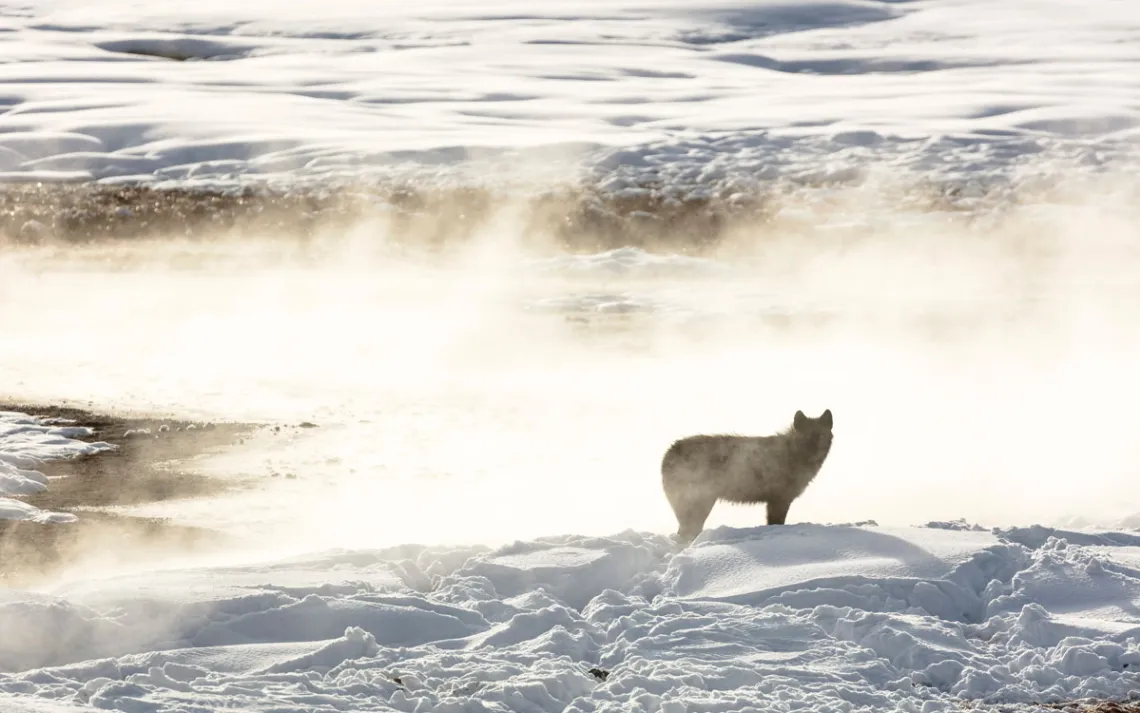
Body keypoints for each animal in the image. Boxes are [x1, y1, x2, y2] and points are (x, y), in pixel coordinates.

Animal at [661, 409, 834, 543]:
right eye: (805, 437)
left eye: (821, 435)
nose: (814, 452)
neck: (793, 454)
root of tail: (668, 453)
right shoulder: (779, 500)